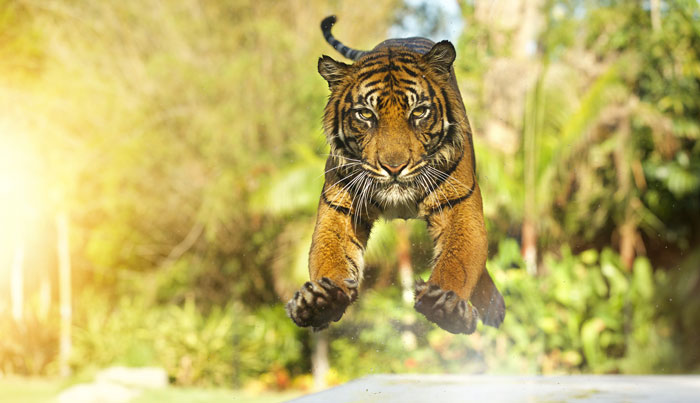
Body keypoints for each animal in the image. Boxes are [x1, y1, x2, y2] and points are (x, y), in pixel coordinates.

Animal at [285, 16, 505, 334]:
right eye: (365, 114)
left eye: (419, 112)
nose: (394, 167)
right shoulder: (339, 207)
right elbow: (330, 255)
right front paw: (319, 301)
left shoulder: (458, 203)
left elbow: (460, 258)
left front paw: (446, 304)